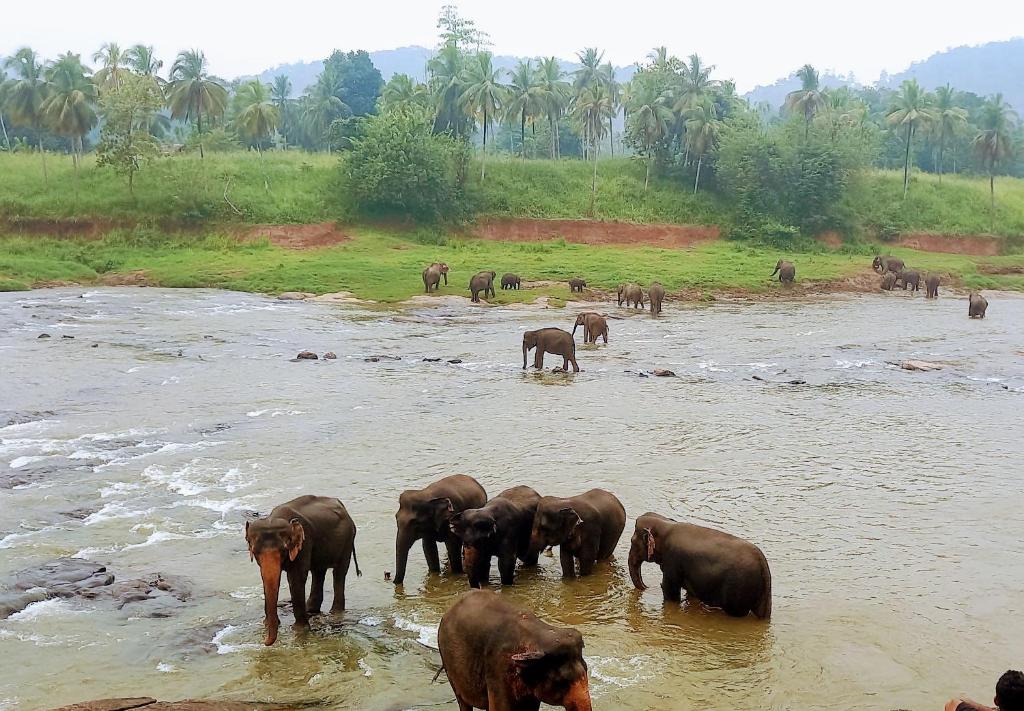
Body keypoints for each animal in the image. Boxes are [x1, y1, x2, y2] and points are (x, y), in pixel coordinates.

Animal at [243, 497, 360, 647]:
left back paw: (335, 613)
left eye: (284, 550)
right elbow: (265, 577)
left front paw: (299, 630)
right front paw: (266, 624)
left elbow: (296, 578)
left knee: (339, 573)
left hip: (347, 540)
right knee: (319, 571)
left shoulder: (304, 543)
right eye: (255, 551)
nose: (264, 642)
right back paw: (311, 610)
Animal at [626, 514, 770, 622]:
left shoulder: (673, 561)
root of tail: (763, 562)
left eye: (632, 541)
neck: (667, 524)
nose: (647, 587)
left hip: (738, 590)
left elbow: (670, 590)